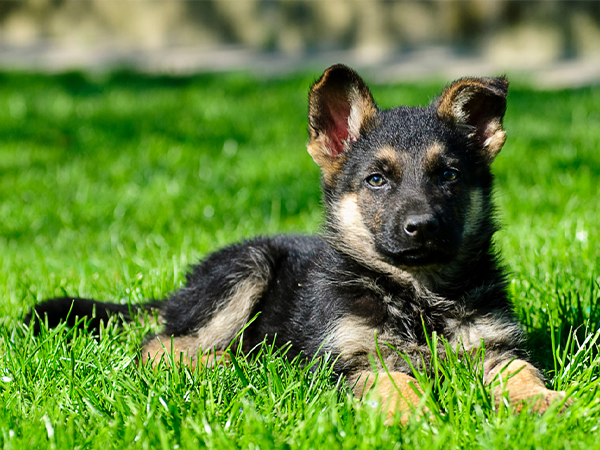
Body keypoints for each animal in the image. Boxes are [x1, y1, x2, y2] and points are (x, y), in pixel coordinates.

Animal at [28, 65, 564, 424]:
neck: (417, 297)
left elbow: (521, 371)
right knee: (159, 346)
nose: (422, 226)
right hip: (247, 268)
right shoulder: (351, 359)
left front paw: (545, 402)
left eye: (449, 175)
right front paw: (413, 415)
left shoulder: (494, 347)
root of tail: (180, 292)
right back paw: (236, 363)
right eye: (376, 180)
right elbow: (393, 381)